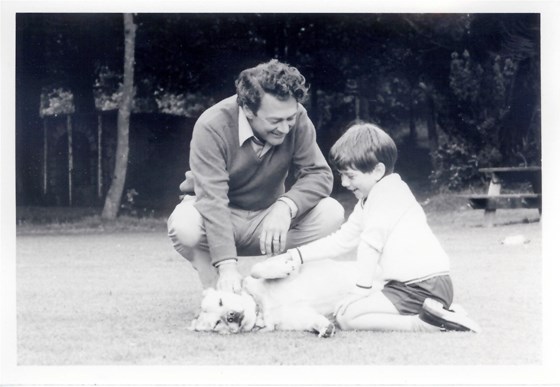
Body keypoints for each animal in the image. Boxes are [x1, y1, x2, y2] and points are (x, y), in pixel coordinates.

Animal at [189, 260, 364, 338]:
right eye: (217, 323)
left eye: (221, 301)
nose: (230, 315)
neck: (261, 308)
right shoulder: (301, 318)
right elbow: (313, 321)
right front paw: (324, 328)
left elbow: (255, 270)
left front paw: (284, 267)